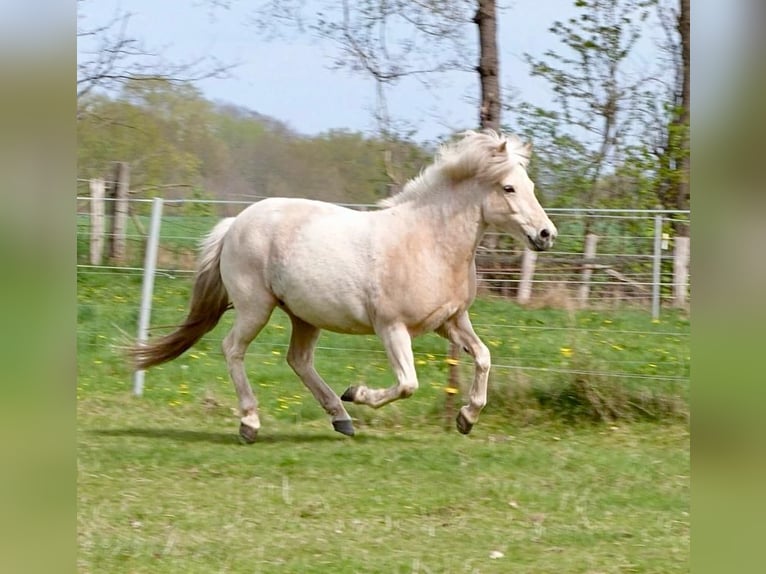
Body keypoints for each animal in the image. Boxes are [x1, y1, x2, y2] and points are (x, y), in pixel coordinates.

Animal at [131, 130, 557, 442]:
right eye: (508, 188)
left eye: (530, 185)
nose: (546, 234)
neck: (428, 242)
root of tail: (235, 222)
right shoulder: (392, 328)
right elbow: (408, 384)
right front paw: (359, 393)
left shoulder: (451, 321)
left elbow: (484, 357)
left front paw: (467, 418)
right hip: (256, 308)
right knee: (233, 349)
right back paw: (251, 423)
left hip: (304, 315)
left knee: (299, 361)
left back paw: (341, 418)